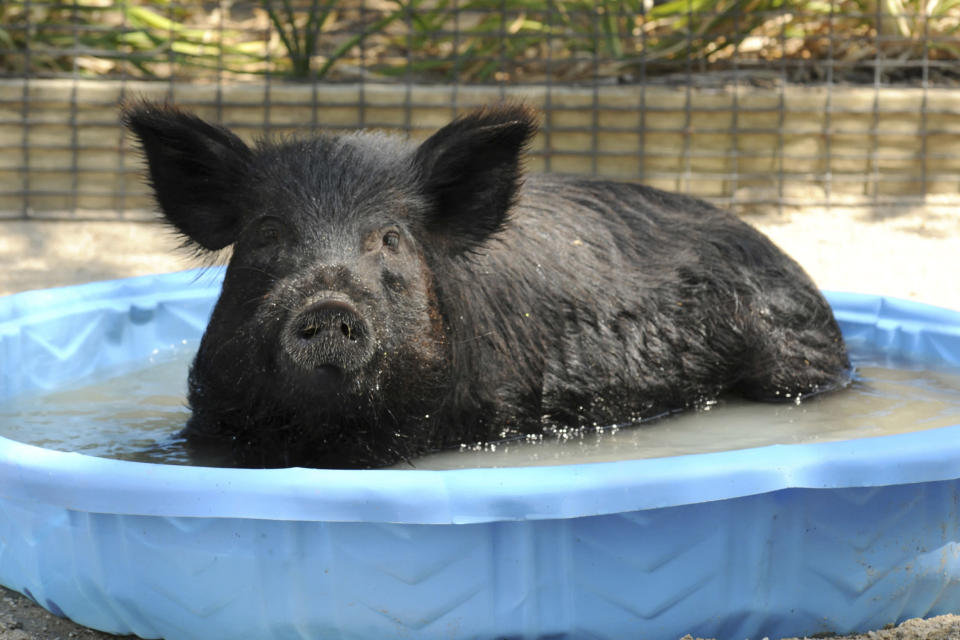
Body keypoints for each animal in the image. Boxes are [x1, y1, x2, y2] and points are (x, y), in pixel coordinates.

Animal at [124, 101, 852, 470]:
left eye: (391, 238)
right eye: (268, 232)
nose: (329, 303)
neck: (321, 434)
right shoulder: (213, 420)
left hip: (798, 361)